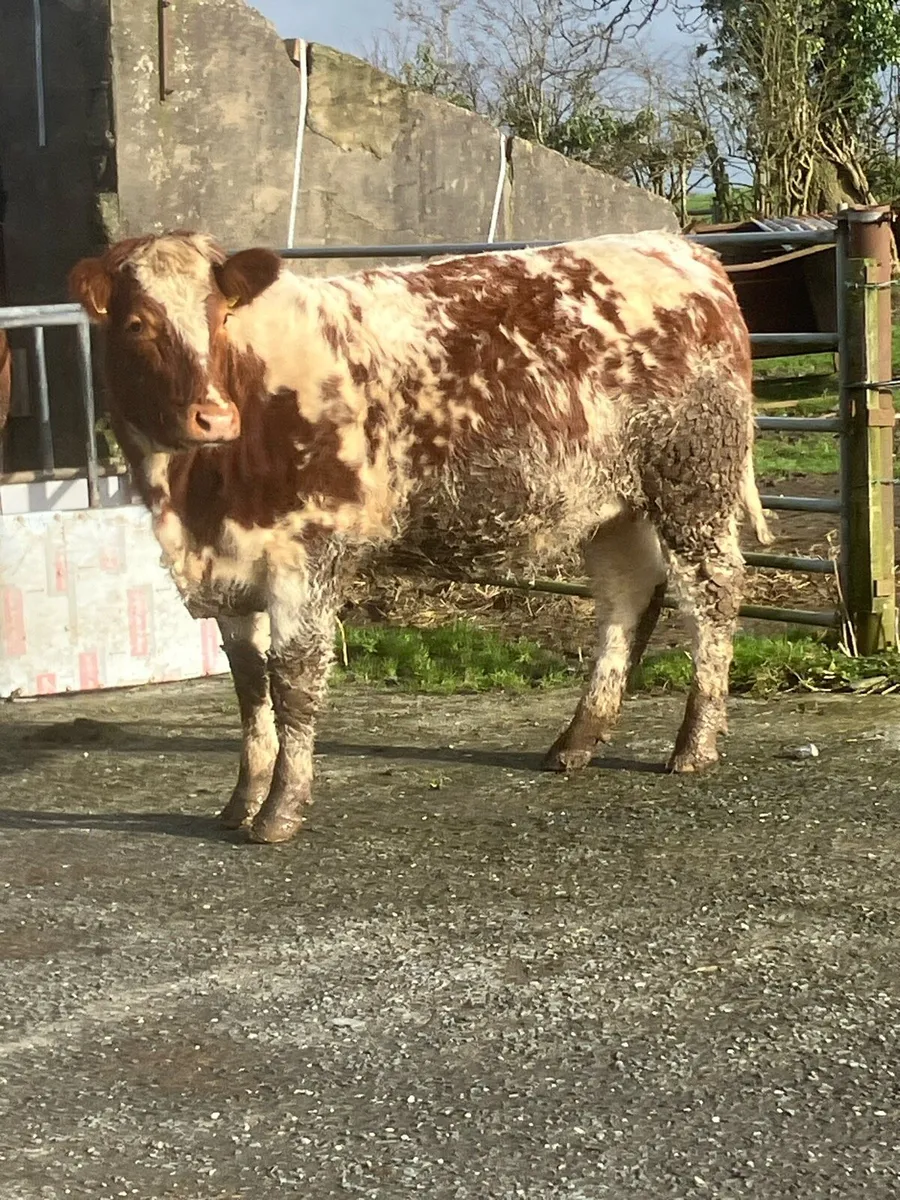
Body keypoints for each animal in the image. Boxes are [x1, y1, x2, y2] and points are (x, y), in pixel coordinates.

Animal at [68, 229, 771, 844]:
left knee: (712, 594)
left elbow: (292, 683)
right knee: (627, 596)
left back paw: (696, 743)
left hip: (693, 480)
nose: (212, 416)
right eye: (137, 325)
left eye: (220, 317)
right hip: (611, 505)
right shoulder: (231, 569)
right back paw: (577, 742)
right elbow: (248, 688)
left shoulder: (307, 557)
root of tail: (682, 249)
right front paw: (240, 802)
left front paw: (280, 813)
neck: (194, 500)